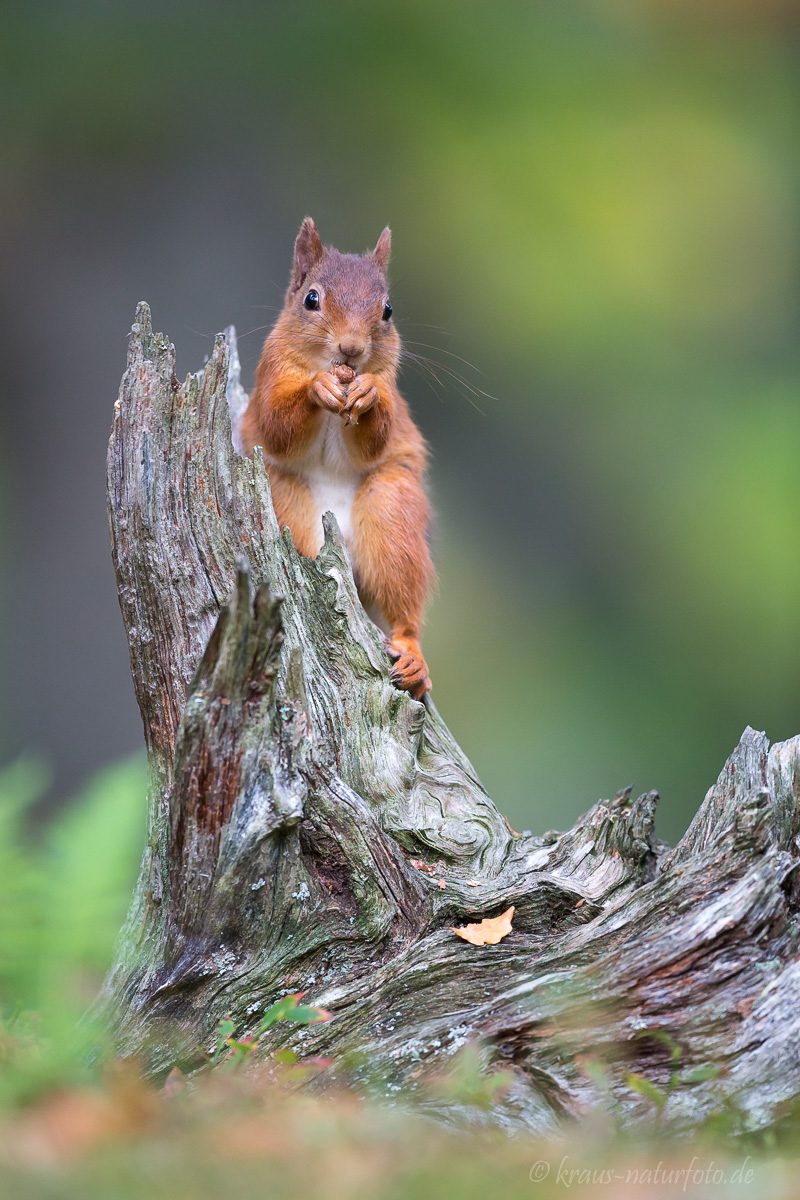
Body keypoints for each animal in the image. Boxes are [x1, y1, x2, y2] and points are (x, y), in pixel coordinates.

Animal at [241, 220, 434, 700]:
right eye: (311, 299)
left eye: (388, 310)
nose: (351, 349)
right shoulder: (270, 376)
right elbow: (277, 427)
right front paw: (317, 387)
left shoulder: (388, 391)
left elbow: (375, 439)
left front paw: (365, 393)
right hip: (286, 500)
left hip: (392, 511)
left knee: (404, 610)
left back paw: (412, 656)